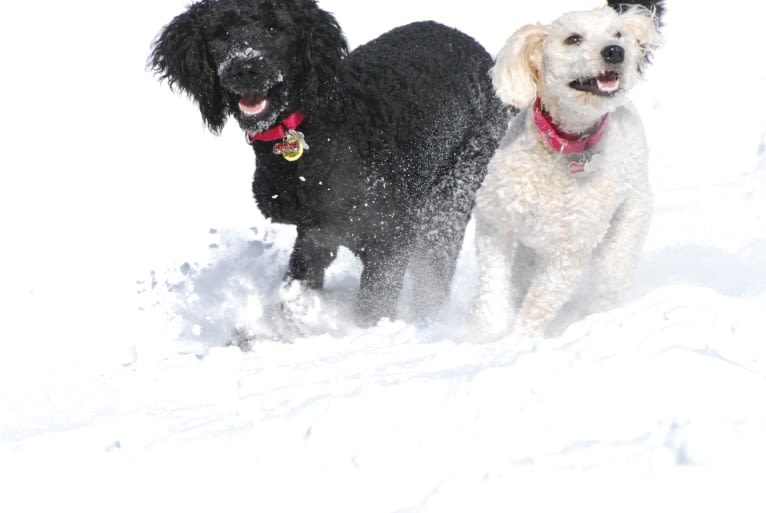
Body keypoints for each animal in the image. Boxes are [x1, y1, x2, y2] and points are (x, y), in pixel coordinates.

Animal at [149, 0, 510, 324]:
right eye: (220, 33)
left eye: (275, 28)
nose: (246, 68)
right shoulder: (316, 233)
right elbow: (299, 280)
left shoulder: (390, 237)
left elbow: (372, 307)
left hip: (454, 190)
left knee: (434, 273)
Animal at [474, 7, 660, 340]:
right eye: (573, 39)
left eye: (617, 33)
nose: (616, 51)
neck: (563, 146)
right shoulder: (495, 221)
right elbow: (492, 289)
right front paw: (486, 334)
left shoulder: (568, 251)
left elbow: (539, 303)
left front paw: (517, 342)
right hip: (528, 252)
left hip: (624, 237)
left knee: (607, 282)